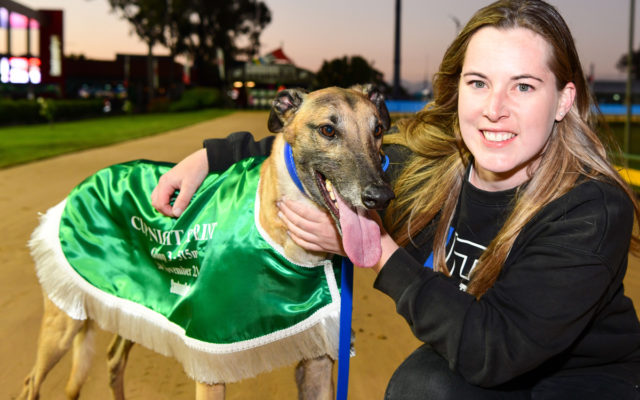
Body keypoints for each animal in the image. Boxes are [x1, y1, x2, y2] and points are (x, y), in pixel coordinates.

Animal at [17, 85, 392, 400]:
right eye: (328, 130)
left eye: (377, 130)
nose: (380, 196)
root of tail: (86, 182)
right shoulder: (211, 357)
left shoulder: (317, 361)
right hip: (63, 323)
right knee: (30, 382)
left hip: (132, 303)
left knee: (112, 359)